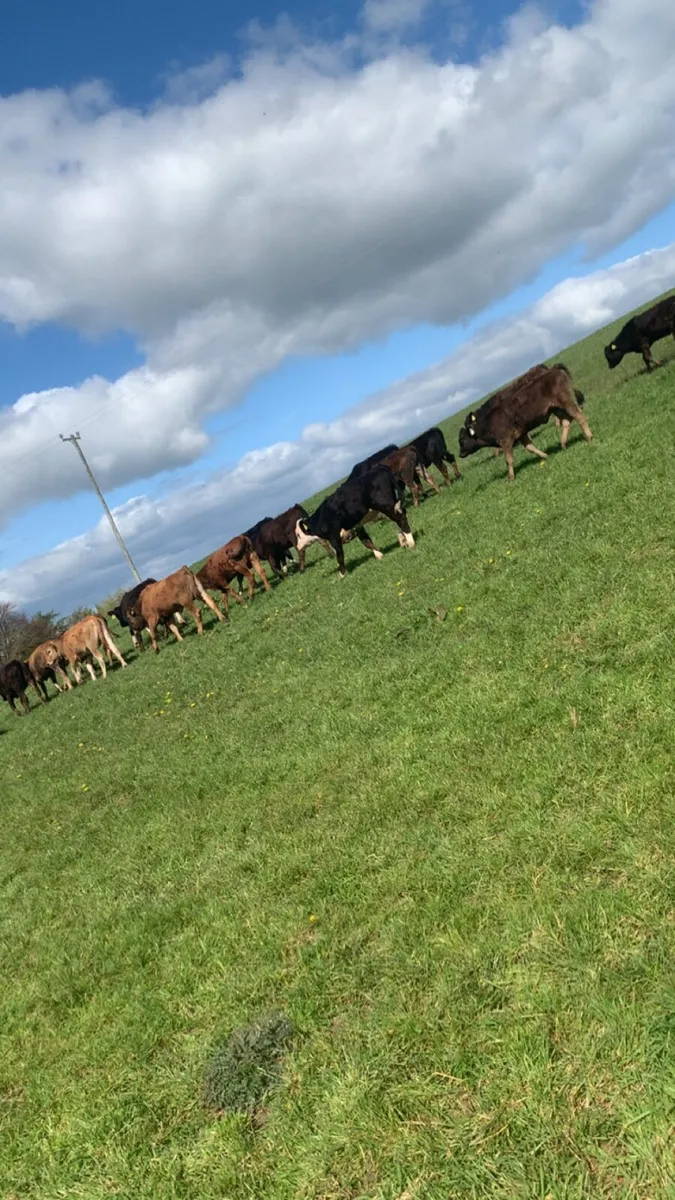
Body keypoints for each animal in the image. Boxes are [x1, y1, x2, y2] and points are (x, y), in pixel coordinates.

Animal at [458, 365, 592, 482]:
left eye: (462, 440)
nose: (460, 454)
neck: (489, 422)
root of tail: (553, 369)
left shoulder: (506, 441)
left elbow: (508, 459)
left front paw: (510, 478)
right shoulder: (521, 435)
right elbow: (530, 448)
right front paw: (545, 456)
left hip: (565, 403)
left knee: (579, 416)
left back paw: (589, 437)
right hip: (556, 408)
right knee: (566, 420)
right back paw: (563, 444)